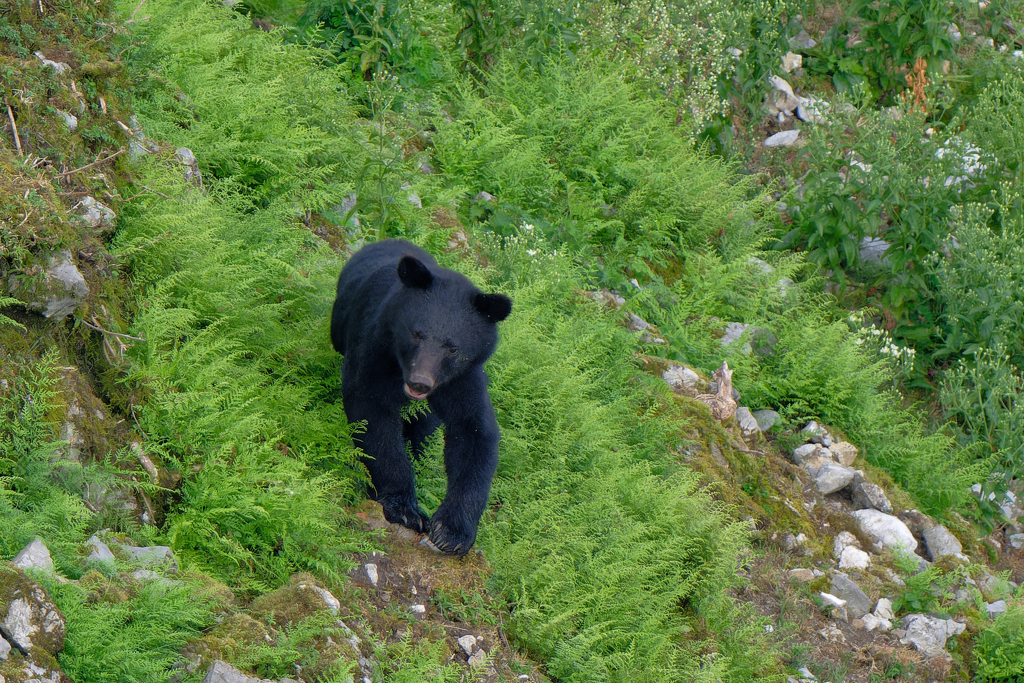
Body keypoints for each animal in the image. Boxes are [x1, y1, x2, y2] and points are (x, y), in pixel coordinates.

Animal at [331, 240, 512, 557]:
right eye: (416, 334)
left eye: (453, 348)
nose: (420, 381)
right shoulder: (376, 347)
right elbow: (372, 413)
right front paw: (404, 509)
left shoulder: (462, 379)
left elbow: (473, 432)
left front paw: (451, 532)